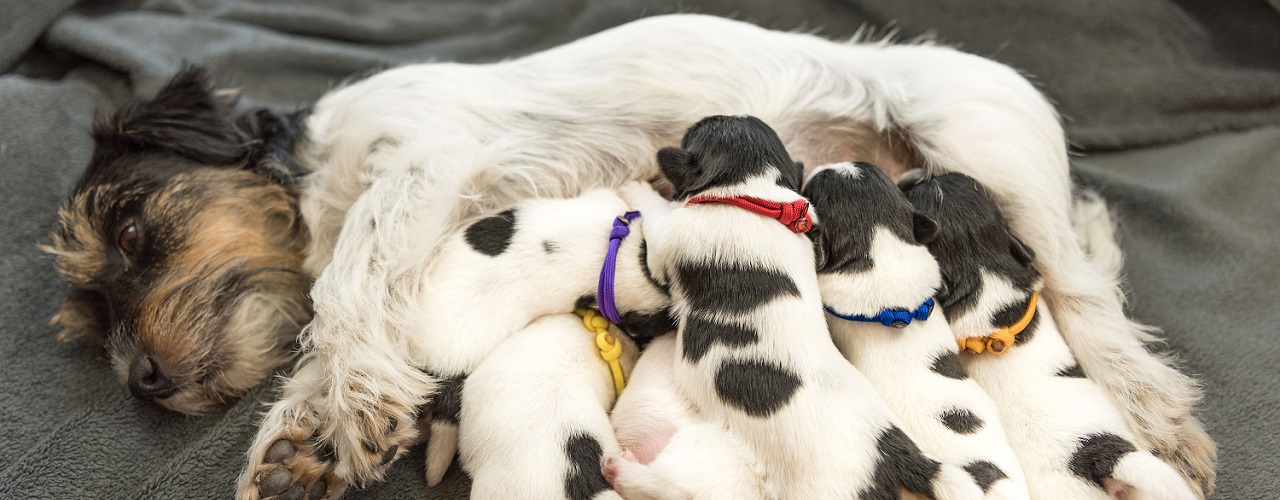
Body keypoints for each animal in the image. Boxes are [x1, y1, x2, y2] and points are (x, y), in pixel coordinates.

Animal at [609, 116, 977, 500]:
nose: (710, 117)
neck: (750, 193)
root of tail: (894, 454)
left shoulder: (668, 239)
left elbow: (656, 216)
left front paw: (637, 188)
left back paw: (622, 469)